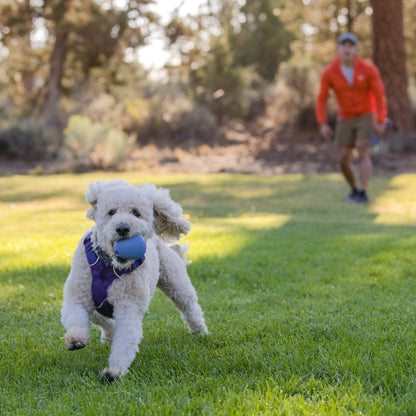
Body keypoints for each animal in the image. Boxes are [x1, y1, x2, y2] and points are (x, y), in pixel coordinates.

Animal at [61, 179, 208, 380]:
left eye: (136, 213)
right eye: (111, 212)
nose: (122, 228)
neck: (109, 267)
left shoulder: (128, 306)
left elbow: (126, 338)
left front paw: (114, 372)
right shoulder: (77, 295)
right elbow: (76, 316)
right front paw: (76, 339)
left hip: (176, 282)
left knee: (190, 307)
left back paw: (200, 332)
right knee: (99, 319)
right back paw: (108, 333)